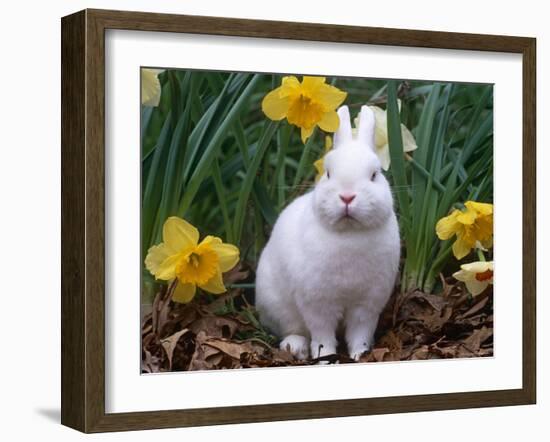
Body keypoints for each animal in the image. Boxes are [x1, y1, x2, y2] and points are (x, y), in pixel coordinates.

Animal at [254, 105, 402, 360]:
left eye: (374, 175)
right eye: (328, 173)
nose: (347, 197)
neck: (350, 234)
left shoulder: (367, 305)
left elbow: (359, 332)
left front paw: (360, 354)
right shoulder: (317, 303)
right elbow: (322, 334)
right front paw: (325, 358)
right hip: (278, 307)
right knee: (292, 330)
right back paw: (296, 347)